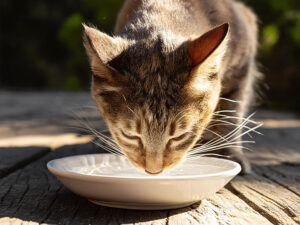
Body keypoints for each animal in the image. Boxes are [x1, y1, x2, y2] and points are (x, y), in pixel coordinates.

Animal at [82, 0, 260, 174]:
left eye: (179, 137)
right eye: (130, 136)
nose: (153, 171)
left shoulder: (241, 71)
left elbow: (231, 115)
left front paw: (229, 152)